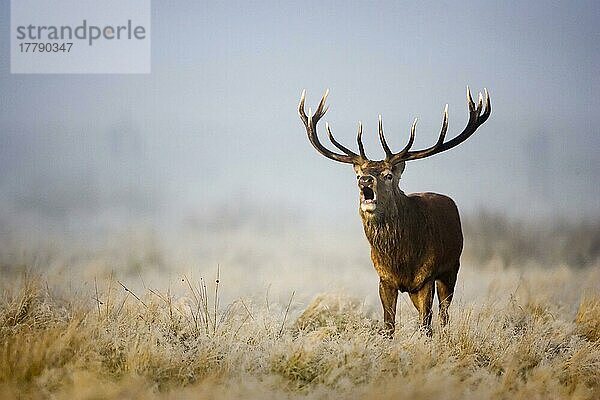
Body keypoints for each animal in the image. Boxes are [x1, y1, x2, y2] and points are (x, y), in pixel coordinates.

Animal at [298, 86, 490, 334]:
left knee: (444, 313)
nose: (366, 181)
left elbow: (426, 324)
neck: (401, 259)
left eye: (388, 175)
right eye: (359, 176)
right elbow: (389, 324)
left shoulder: (427, 276)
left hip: (452, 268)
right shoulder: (384, 279)